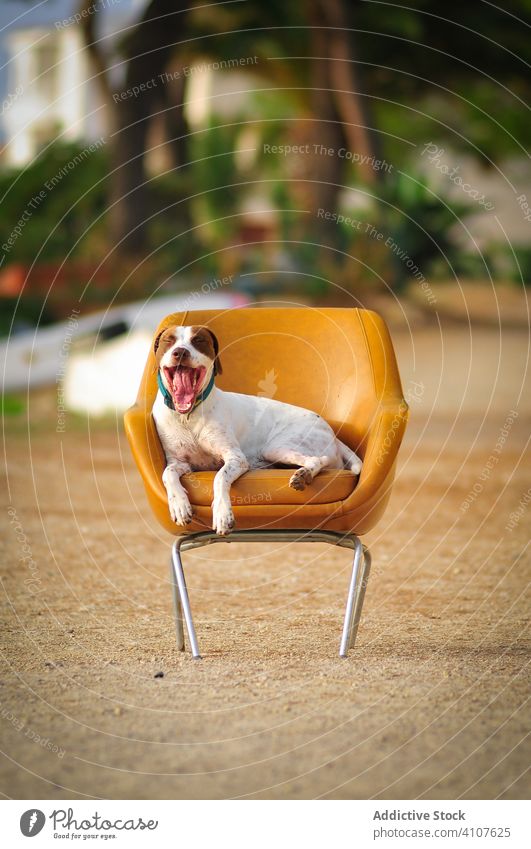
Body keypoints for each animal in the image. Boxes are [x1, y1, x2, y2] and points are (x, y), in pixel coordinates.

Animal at [152, 326, 364, 532]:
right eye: (169, 340)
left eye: (198, 340)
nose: (180, 352)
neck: (187, 416)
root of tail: (331, 432)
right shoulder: (180, 462)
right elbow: (167, 474)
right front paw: (179, 505)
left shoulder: (236, 458)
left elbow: (219, 477)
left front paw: (222, 514)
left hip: (277, 447)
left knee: (319, 459)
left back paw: (304, 475)